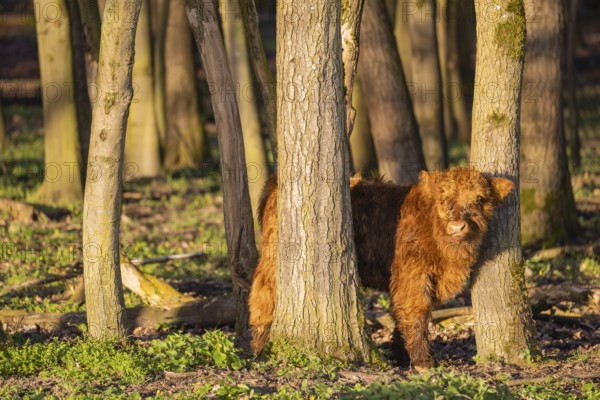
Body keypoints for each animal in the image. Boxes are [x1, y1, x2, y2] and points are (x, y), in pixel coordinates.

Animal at [248, 167, 516, 370]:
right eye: (443, 198)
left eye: (479, 199)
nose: (458, 226)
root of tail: (275, 181)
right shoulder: (412, 274)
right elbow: (416, 312)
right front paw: (423, 362)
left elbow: (401, 314)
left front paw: (402, 356)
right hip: (274, 258)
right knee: (263, 294)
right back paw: (258, 347)